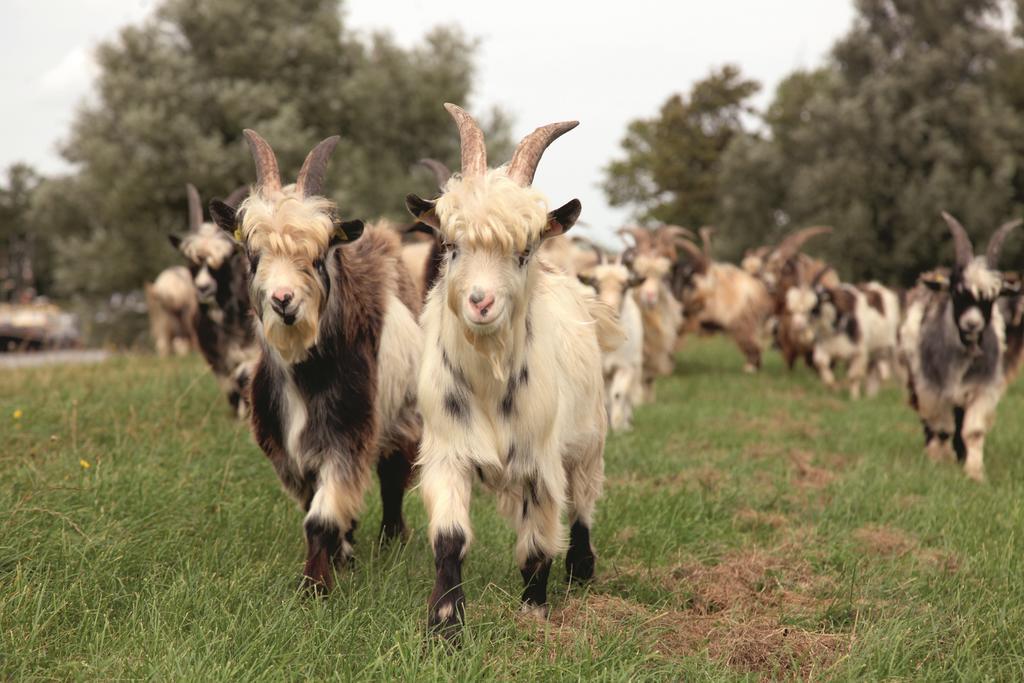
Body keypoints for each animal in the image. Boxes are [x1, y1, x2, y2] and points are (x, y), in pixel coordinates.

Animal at [209, 132, 421, 593]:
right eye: (252, 255)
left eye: (319, 256)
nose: (283, 300)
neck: (302, 375)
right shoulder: (286, 449)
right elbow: (315, 508)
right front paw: (339, 559)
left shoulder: (346, 434)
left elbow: (321, 518)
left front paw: (315, 588)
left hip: (403, 416)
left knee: (393, 475)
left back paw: (391, 539)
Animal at [403, 104, 618, 638]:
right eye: (451, 246)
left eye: (523, 252)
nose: (481, 302)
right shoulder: (447, 452)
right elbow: (450, 538)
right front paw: (445, 623)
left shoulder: (540, 463)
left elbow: (538, 544)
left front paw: (534, 610)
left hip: (590, 440)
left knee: (583, 503)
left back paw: (581, 568)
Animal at [901, 211, 1019, 481]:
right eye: (956, 292)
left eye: (994, 297)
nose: (972, 324)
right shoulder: (932, 387)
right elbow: (942, 428)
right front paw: (940, 462)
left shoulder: (983, 388)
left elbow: (973, 431)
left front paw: (975, 472)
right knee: (931, 423)